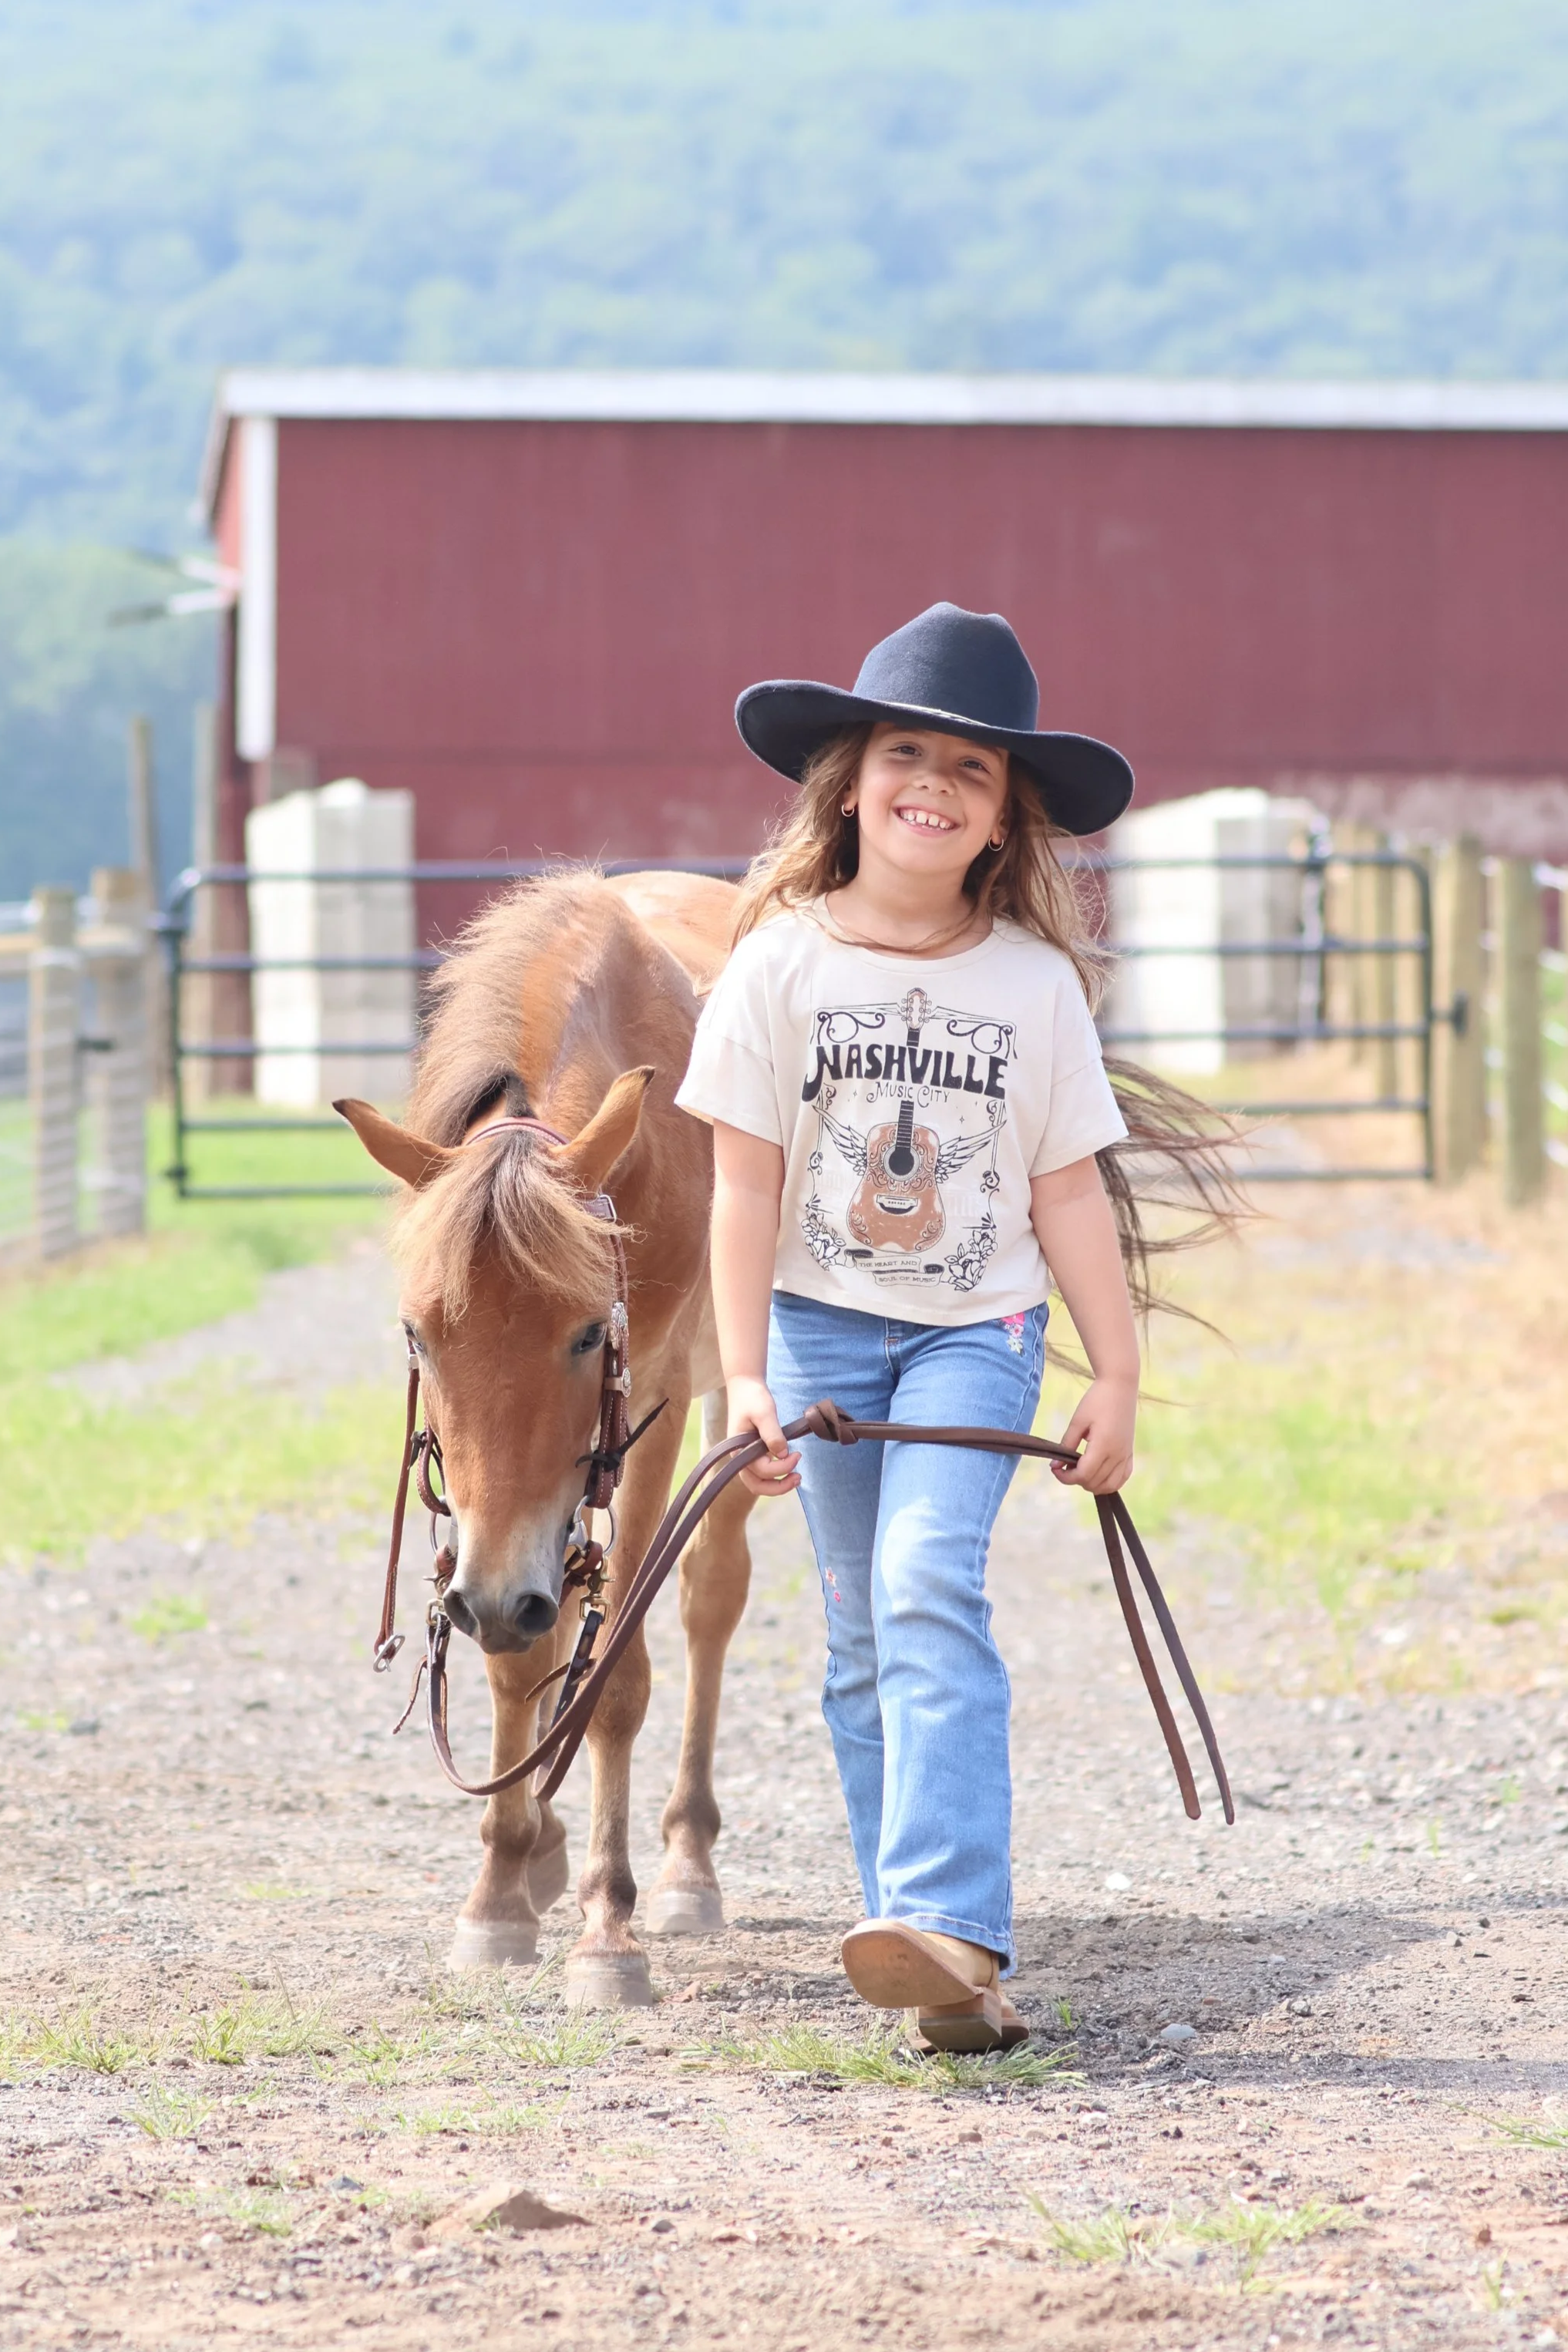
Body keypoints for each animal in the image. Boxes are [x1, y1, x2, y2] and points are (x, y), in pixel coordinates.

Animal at [337, 868, 756, 2008]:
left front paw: (608, 1931)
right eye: (418, 1333)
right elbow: (521, 1656)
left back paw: (686, 1864)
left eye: (584, 1333)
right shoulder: (497, 1531)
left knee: (709, 1594)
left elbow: (614, 1672)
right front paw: (499, 1892)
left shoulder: (651, 1411)